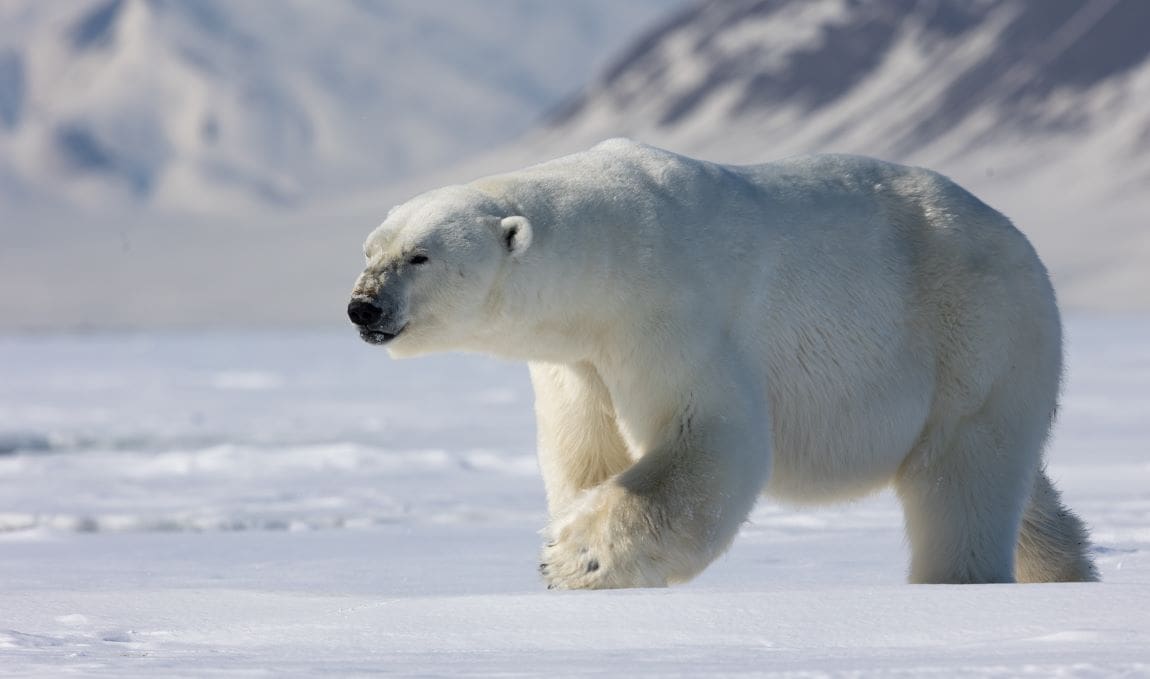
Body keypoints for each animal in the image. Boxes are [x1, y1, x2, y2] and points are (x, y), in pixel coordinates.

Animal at [345, 139, 1099, 589]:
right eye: (370, 250)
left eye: (420, 256)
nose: (362, 307)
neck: (608, 248)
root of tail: (1019, 243)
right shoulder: (577, 360)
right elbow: (584, 447)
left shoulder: (668, 312)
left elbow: (708, 441)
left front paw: (573, 557)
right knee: (1020, 487)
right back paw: (1067, 568)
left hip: (975, 336)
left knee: (962, 480)